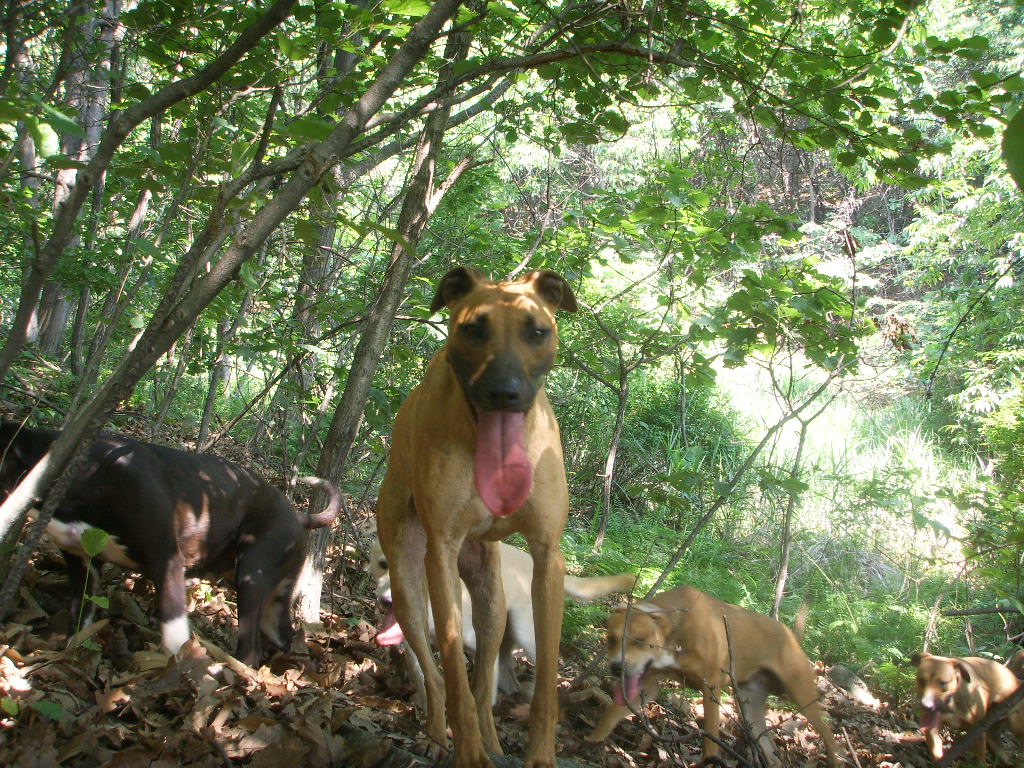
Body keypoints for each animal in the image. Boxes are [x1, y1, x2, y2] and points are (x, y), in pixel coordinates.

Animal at [0, 420, 341, 666]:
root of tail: (298, 515)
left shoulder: (166, 561)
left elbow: (174, 634)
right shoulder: (82, 566)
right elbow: (80, 622)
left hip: (251, 577)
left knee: (250, 651)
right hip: (273, 601)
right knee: (287, 639)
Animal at [370, 536, 636, 704]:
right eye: (383, 564)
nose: (388, 601)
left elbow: (484, 695)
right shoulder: (415, 649)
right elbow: (425, 682)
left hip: (527, 634)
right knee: (510, 677)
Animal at [375, 266, 577, 768]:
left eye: (537, 331)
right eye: (472, 329)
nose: (505, 394)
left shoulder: (548, 558)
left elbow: (545, 679)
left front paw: (538, 754)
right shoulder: (441, 555)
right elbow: (450, 669)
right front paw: (467, 752)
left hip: (491, 599)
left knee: (485, 679)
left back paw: (491, 738)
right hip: (408, 589)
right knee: (436, 675)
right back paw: (438, 733)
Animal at [587, 585, 840, 767]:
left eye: (640, 640)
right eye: (611, 639)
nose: (616, 667)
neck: (675, 629)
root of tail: (791, 637)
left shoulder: (710, 690)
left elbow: (710, 743)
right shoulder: (647, 686)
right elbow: (611, 713)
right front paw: (592, 741)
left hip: (803, 698)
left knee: (830, 738)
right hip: (749, 709)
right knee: (771, 753)